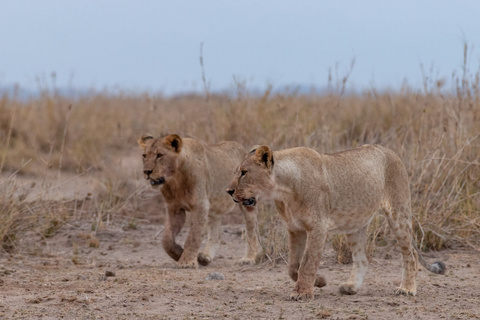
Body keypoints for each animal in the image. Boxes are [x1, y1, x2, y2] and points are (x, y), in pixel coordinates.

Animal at [137, 134, 260, 268]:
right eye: (144, 156)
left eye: (160, 155)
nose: (146, 171)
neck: (175, 179)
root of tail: (244, 150)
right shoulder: (174, 208)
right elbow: (167, 240)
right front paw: (182, 255)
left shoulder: (200, 205)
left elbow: (193, 236)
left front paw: (187, 261)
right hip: (214, 209)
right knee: (216, 234)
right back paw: (206, 256)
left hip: (246, 202)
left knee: (252, 230)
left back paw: (249, 258)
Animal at [227, 144, 444, 300]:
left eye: (243, 172)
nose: (228, 191)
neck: (283, 190)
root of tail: (391, 151)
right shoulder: (295, 229)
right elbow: (293, 266)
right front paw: (319, 281)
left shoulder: (318, 227)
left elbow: (307, 263)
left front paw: (302, 293)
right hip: (354, 225)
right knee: (362, 258)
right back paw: (351, 287)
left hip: (398, 214)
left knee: (410, 255)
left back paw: (407, 289)